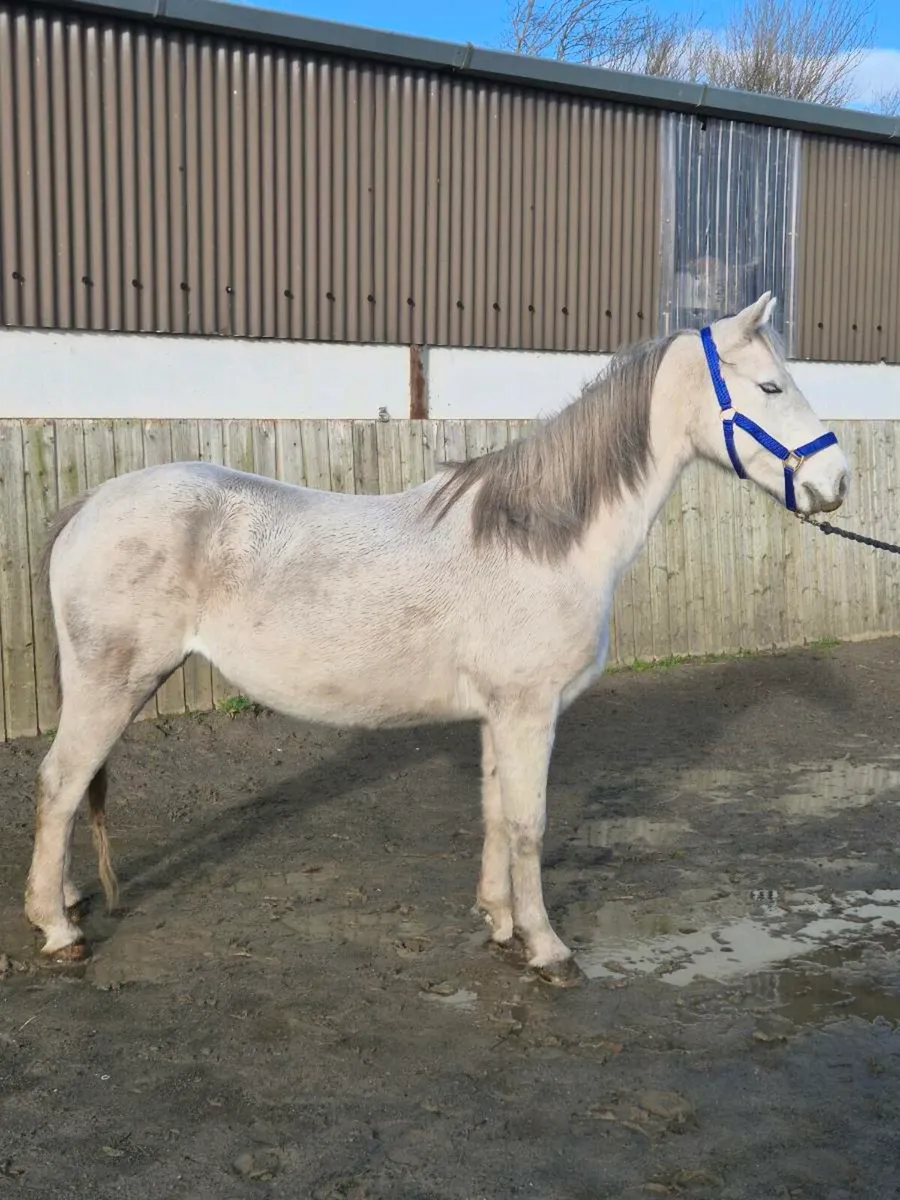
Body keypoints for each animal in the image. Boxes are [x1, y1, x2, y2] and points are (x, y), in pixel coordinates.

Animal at [25, 292, 850, 983]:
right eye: (771, 388)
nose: (837, 482)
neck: (542, 540)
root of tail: (92, 501)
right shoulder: (528, 712)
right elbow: (527, 823)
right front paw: (547, 948)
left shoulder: (496, 717)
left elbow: (494, 816)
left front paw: (500, 924)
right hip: (113, 684)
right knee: (61, 783)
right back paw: (56, 930)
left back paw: (64, 904)